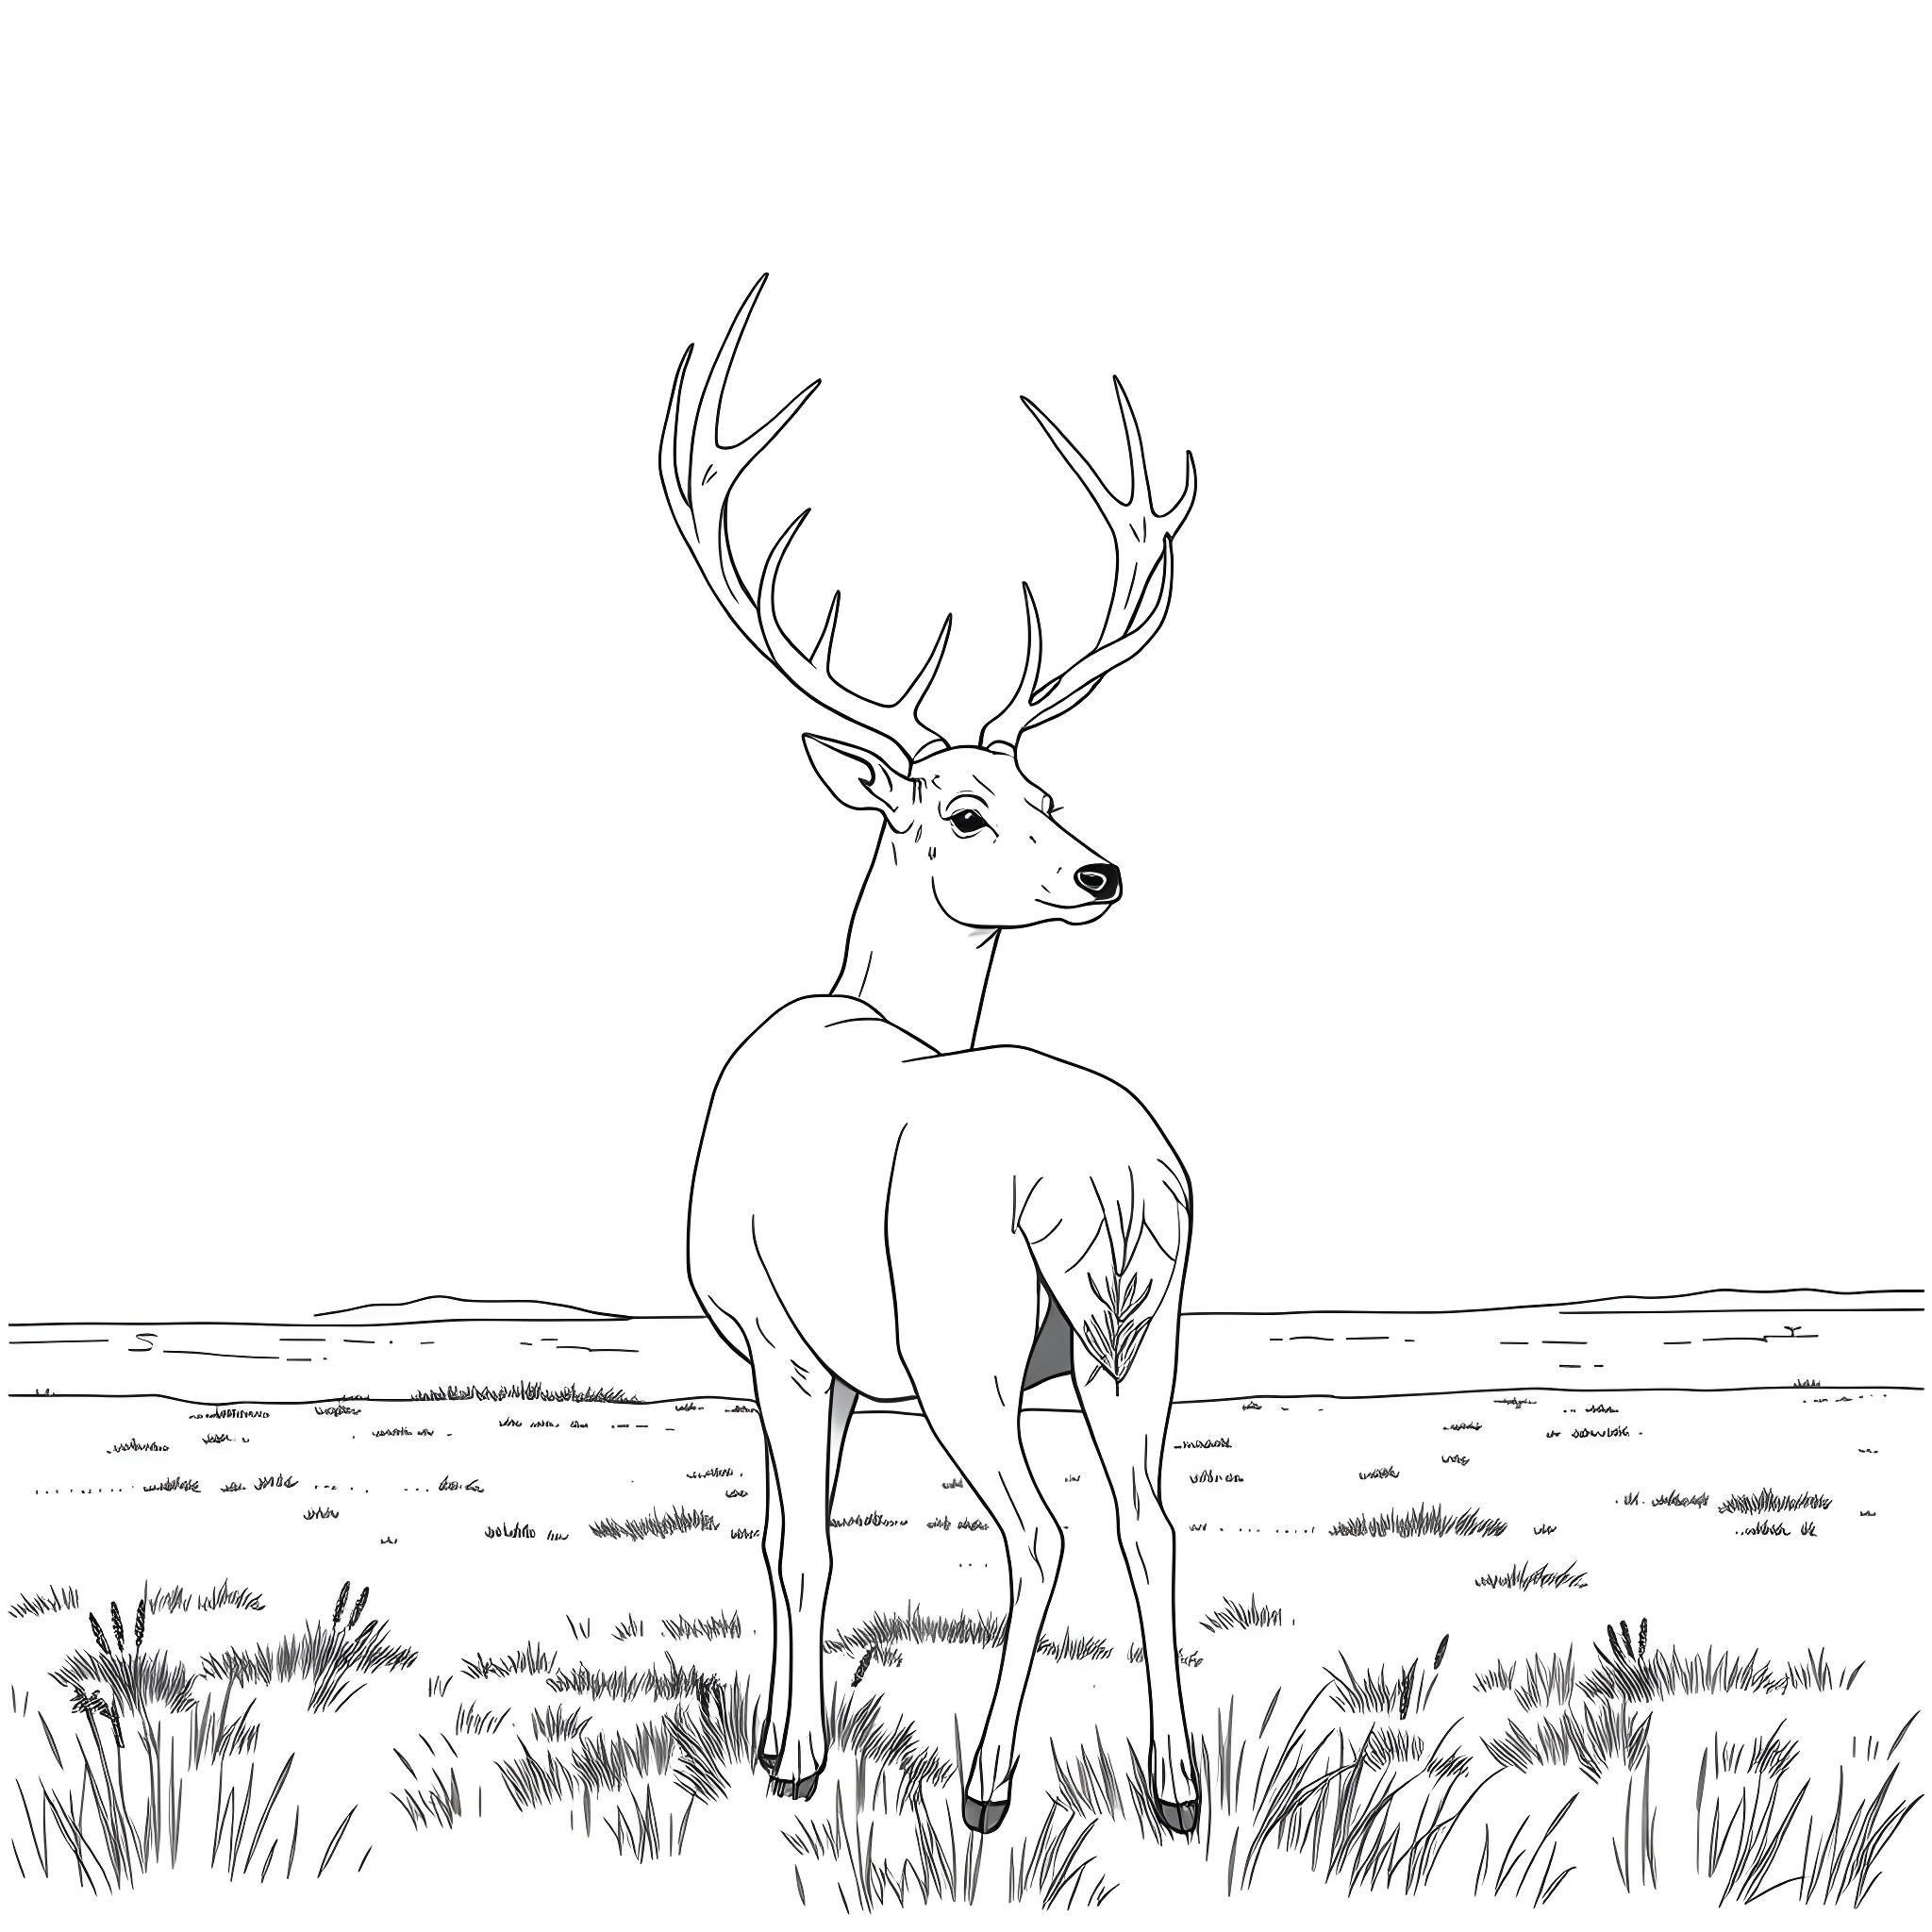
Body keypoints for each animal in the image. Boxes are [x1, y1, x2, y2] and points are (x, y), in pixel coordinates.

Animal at [660, 277, 1201, 1836]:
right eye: (971, 808)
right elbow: (803, 1529)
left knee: (1041, 1530)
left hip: (966, 1343)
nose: (1100, 871)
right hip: (1146, 1335)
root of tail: (1110, 1183)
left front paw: (789, 1755)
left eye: (1046, 789)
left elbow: (796, 1543)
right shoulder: (820, 1359)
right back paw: (1177, 1788)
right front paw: (781, 1731)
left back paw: (987, 1786)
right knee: (1151, 1521)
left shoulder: (775, 1333)